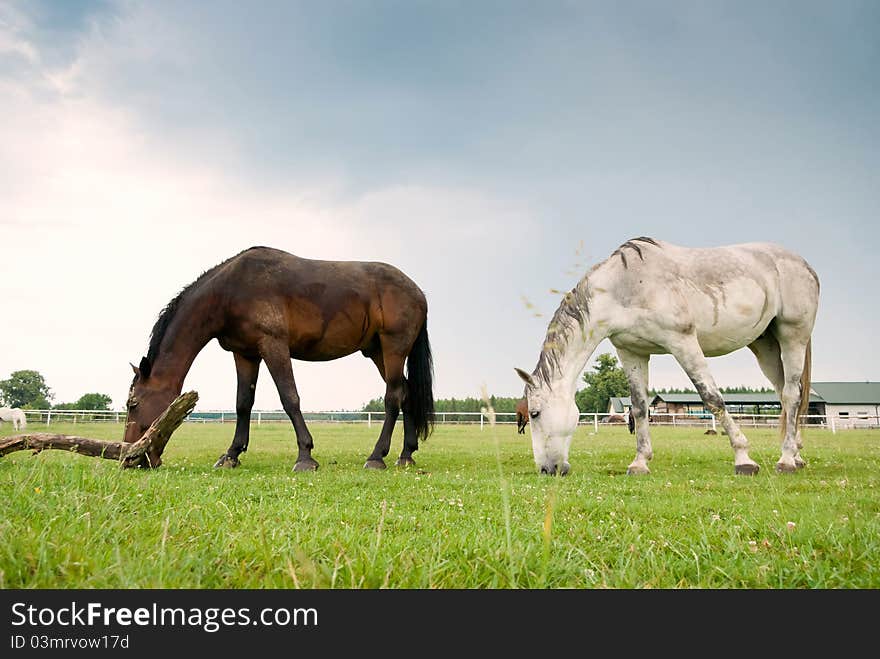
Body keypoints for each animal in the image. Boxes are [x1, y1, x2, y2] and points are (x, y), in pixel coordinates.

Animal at [125, 246, 434, 470]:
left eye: (134, 403)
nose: (130, 457)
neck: (230, 291)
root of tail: (418, 292)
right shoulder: (245, 354)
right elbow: (243, 403)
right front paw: (231, 455)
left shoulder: (273, 346)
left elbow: (290, 398)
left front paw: (305, 457)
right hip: (376, 351)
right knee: (406, 393)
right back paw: (406, 455)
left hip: (393, 348)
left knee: (393, 397)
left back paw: (376, 456)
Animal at [516, 240, 820, 476]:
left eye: (535, 413)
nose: (547, 469)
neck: (625, 286)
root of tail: (805, 265)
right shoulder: (632, 351)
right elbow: (639, 408)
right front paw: (640, 463)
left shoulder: (683, 341)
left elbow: (712, 398)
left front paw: (743, 458)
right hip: (766, 346)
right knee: (785, 395)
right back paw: (796, 455)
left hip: (792, 336)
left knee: (791, 394)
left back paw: (786, 460)